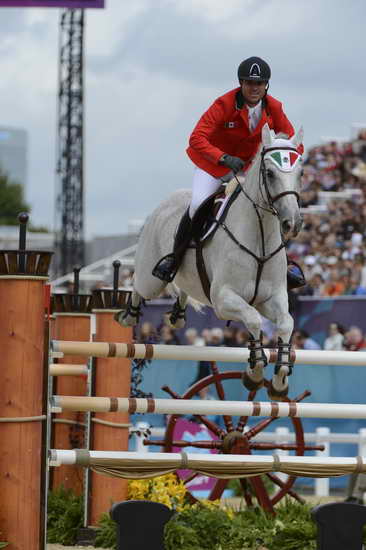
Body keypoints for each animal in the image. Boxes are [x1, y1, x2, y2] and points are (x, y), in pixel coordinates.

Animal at [116, 125, 304, 402]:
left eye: (300, 172)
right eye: (269, 173)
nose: (293, 223)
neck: (259, 237)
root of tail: (165, 203)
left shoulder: (272, 298)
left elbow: (286, 322)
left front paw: (280, 380)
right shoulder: (224, 300)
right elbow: (253, 320)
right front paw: (255, 372)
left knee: (182, 288)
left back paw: (178, 315)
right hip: (150, 280)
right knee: (138, 286)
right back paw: (129, 315)